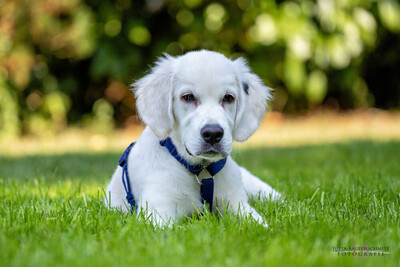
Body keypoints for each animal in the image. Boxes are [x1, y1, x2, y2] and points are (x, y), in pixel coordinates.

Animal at [106, 49, 282, 226]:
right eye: (188, 97)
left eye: (228, 98)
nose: (213, 134)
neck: (201, 171)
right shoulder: (156, 212)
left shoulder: (237, 204)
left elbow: (262, 226)